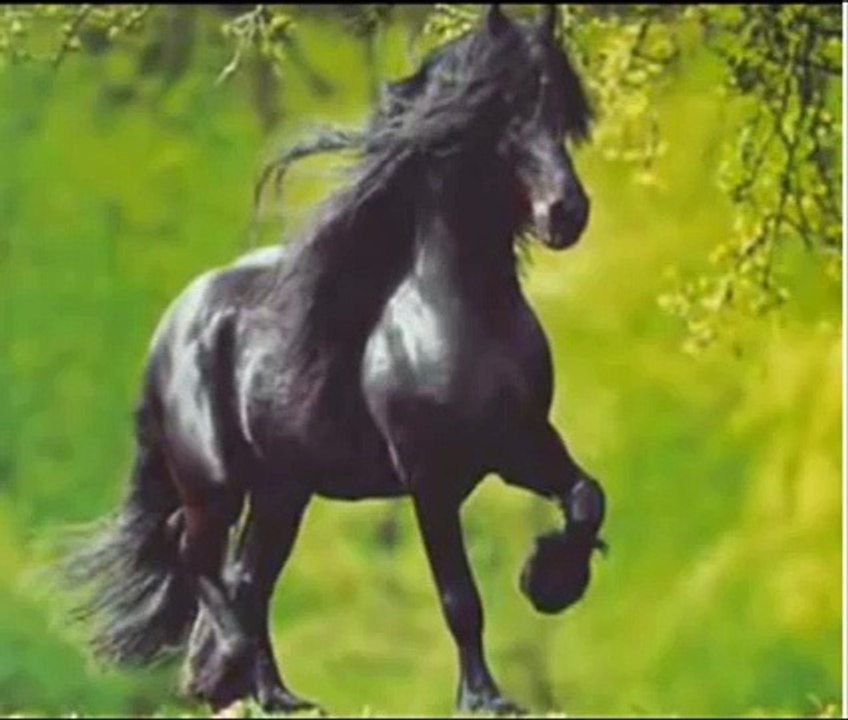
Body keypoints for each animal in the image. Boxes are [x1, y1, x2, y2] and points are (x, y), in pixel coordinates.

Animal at [58, 5, 607, 715]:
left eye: (561, 110)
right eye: (502, 112)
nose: (566, 213)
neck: (461, 311)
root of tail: (174, 322)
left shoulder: (523, 445)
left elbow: (586, 497)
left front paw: (548, 581)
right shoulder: (430, 478)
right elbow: (459, 598)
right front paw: (484, 697)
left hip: (281, 491)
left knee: (248, 577)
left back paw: (277, 694)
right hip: (216, 483)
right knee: (196, 555)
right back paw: (227, 665)